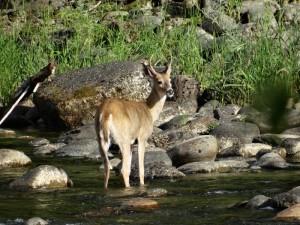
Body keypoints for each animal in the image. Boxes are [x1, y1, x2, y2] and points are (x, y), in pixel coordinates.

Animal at [94, 55, 173, 188]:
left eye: (170, 80)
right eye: (159, 81)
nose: (171, 91)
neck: (149, 110)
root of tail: (105, 113)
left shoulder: (132, 143)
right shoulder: (142, 137)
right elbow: (141, 169)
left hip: (101, 140)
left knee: (107, 168)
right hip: (122, 138)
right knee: (123, 171)